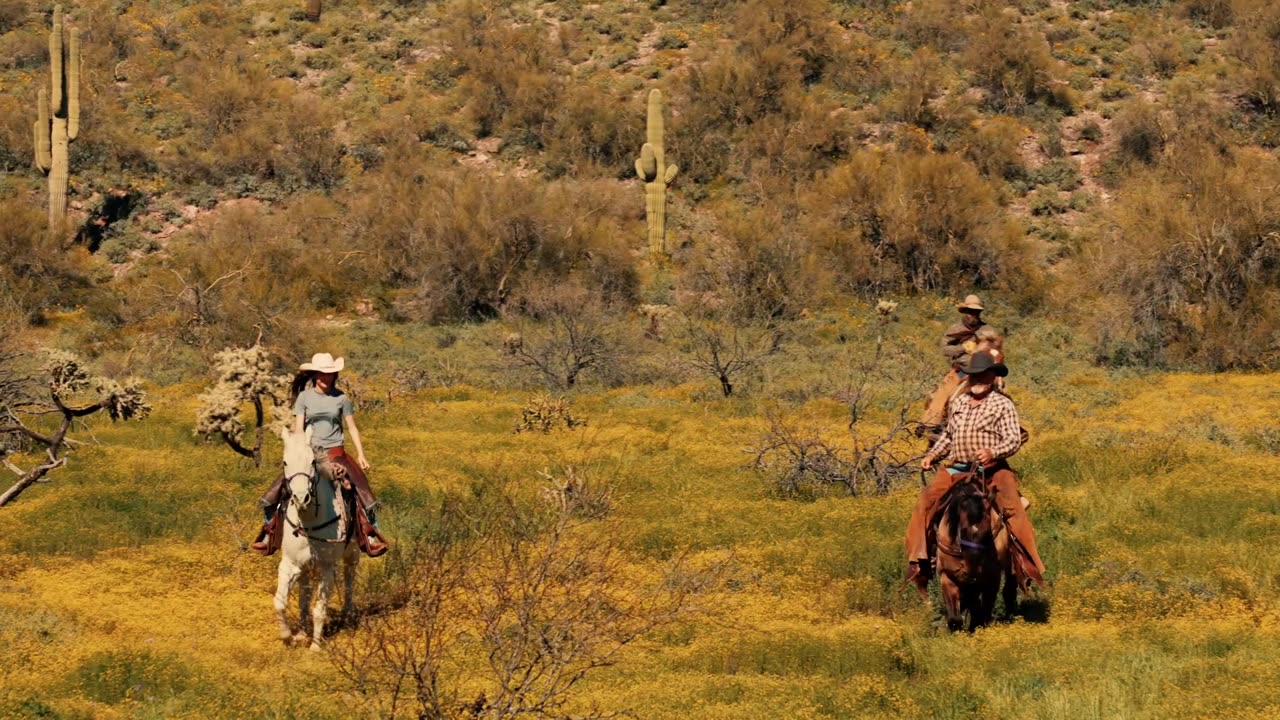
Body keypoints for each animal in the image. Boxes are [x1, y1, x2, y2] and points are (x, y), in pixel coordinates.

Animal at [273, 425, 360, 650]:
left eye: (312, 461)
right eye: (285, 462)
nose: (301, 498)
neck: (309, 521)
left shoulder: (327, 567)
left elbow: (319, 610)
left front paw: (315, 647)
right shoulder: (289, 563)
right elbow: (280, 602)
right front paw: (289, 636)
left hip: (352, 553)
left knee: (349, 579)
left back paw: (347, 616)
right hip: (305, 567)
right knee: (304, 595)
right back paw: (303, 631)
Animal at [931, 474, 1018, 630]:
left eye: (988, 532)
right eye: (963, 529)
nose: (972, 569)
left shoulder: (991, 577)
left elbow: (984, 610)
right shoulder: (947, 575)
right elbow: (955, 618)